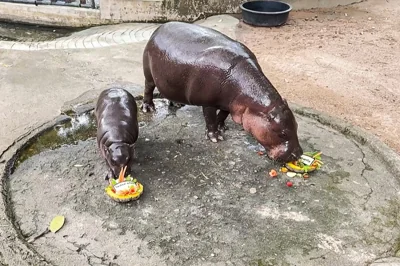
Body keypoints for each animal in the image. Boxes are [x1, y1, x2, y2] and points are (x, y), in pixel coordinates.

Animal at [142, 21, 302, 162]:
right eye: (282, 133)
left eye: (296, 126)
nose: (298, 154)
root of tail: (159, 28)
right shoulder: (208, 102)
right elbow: (210, 118)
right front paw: (215, 137)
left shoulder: (229, 103)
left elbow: (223, 115)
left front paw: (222, 127)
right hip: (148, 74)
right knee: (148, 89)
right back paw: (148, 108)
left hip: (170, 79)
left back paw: (176, 104)